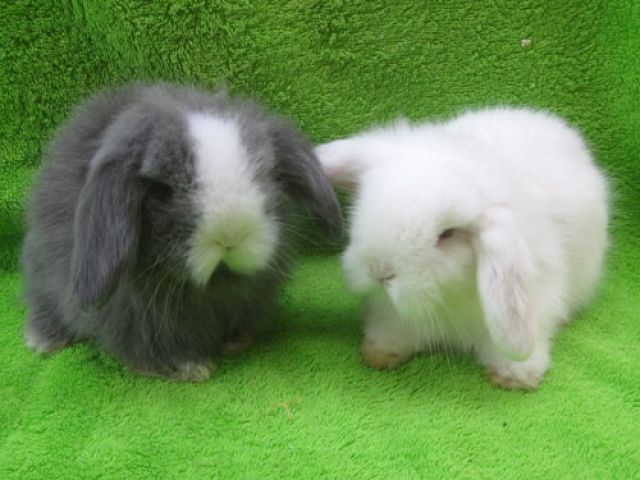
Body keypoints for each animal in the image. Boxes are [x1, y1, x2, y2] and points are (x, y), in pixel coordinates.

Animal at [21, 83, 341, 381]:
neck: (213, 285)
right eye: (163, 189)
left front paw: (237, 342)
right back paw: (43, 342)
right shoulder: (144, 319)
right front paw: (191, 369)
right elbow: (159, 347)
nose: (230, 237)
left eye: (264, 172)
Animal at [315, 107, 609, 390]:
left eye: (447, 234)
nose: (379, 272)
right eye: (365, 203)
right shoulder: (392, 313)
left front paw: (517, 377)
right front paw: (380, 353)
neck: (449, 299)